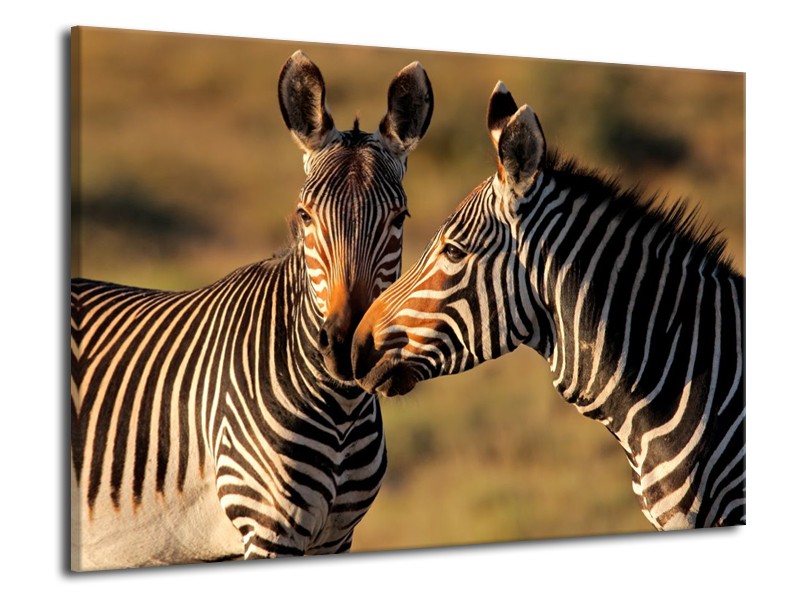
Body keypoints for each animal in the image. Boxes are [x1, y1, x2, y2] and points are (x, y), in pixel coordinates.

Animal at [70, 50, 434, 571]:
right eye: (304, 216)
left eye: (399, 218)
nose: (346, 347)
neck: (341, 411)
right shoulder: (268, 530)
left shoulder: (335, 539)